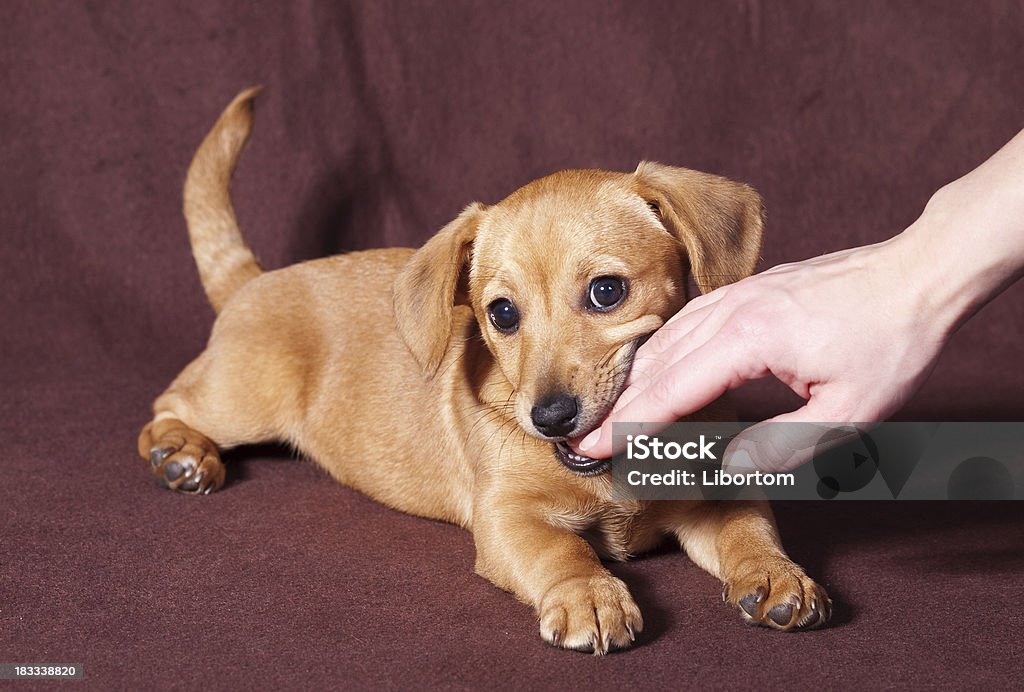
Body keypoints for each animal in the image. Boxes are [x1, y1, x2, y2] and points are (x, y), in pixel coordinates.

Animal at [140, 88, 831, 655]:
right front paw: (589, 594)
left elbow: (749, 529)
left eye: (607, 292)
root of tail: (253, 281)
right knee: (166, 405)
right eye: (501, 313)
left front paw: (777, 574)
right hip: (241, 399)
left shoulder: (715, 491)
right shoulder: (508, 517)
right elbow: (562, 549)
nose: (549, 417)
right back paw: (183, 453)